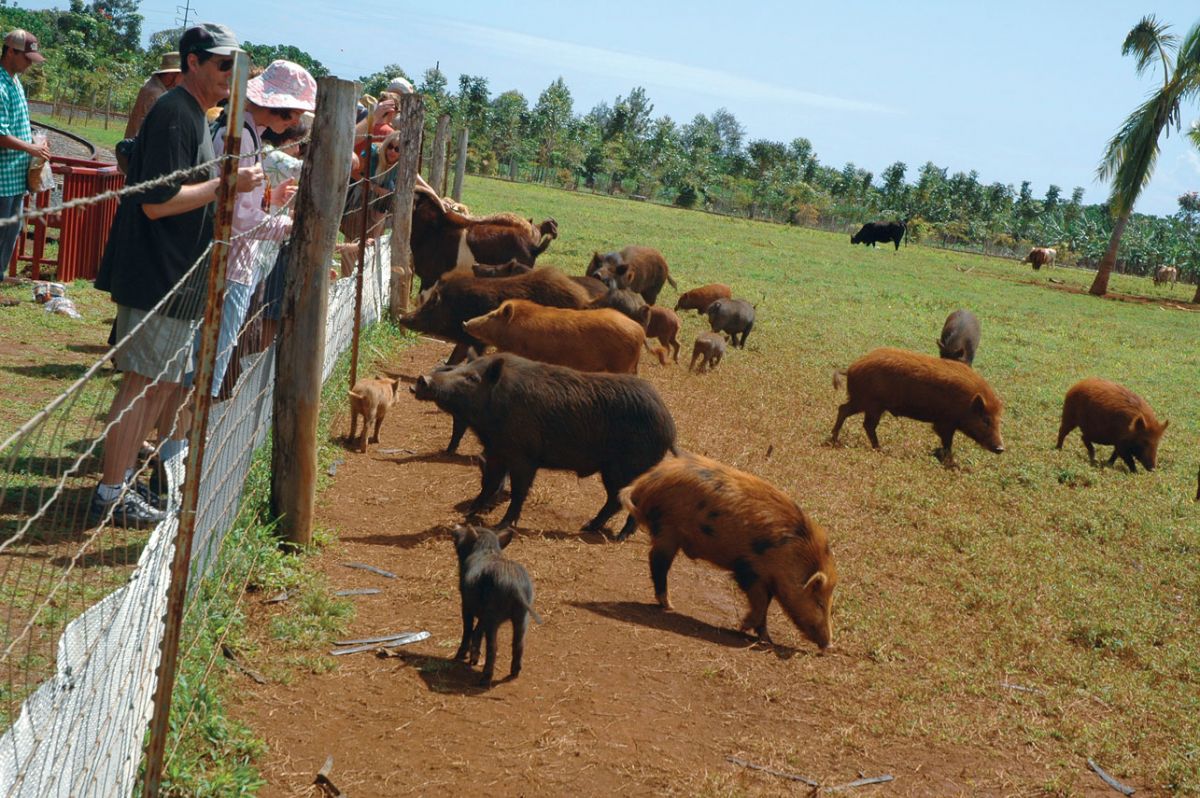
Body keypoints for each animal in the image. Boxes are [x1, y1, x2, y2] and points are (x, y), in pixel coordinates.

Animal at [398, 268, 592, 364]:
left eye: (430, 306)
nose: (402, 317)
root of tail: (584, 298)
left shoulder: (477, 340)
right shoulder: (466, 338)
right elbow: (454, 358)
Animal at [413, 353, 677, 535]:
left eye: (472, 378)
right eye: (461, 368)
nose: (422, 379)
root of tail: (669, 424)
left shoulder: (524, 457)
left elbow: (519, 492)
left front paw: (501, 526)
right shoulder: (497, 452)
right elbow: (488, 484)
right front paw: (469, 514)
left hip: (629, 466)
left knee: (629, 499)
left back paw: (617, 536)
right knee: (616, 500)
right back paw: (588, 527)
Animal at [451, 525, 543, 686]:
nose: (455, 528)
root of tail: (515, 586)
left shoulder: (466, 603)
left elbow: (468, 628)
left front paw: (459, 657)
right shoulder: (483, 615)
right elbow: (477, 631)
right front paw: (473, 660)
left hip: (494, 616)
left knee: (493, 647)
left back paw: (484, 679)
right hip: (522, 616)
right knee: (518, 643)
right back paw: (514, 673)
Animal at [621, 453, 838, 650]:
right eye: (819, 602)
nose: (828, 645)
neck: (791, 554)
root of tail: (644, 483)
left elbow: (765, 606)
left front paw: (767, 640)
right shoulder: (750, 568)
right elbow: (760, 602)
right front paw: (744, 628)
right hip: (667, 529)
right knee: (657, 562)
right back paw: (669, 606)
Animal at [831, 347, 1005, 465]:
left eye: (999, 421)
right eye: (985, 420)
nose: (1001, 449)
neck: (966, 403)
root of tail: (851, 368)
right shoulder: (945, 422)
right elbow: (947, 441)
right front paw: (951, 463)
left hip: (866, 403)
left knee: (846, 411)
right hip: (869, 403)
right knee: (862, 421)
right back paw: (879, 449)